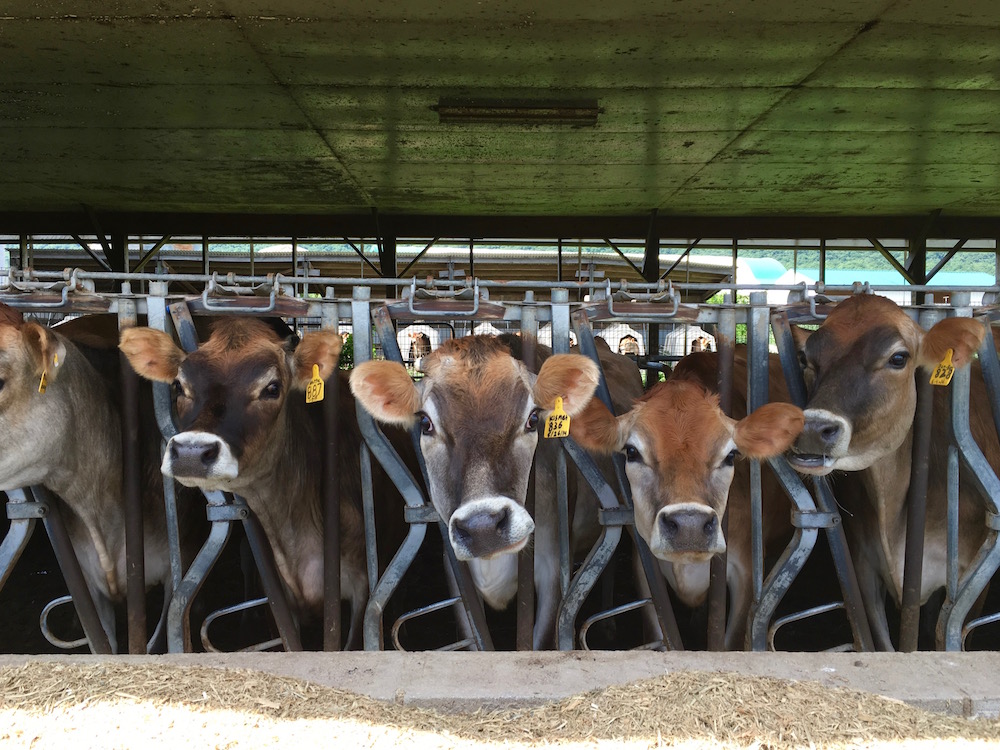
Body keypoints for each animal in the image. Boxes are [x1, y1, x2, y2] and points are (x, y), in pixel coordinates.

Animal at [570, 348, 804, 649]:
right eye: (632, 451)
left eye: (731, 455)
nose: (689, 526)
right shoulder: (644, 570)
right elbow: (659, 635)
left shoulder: (747, 574)